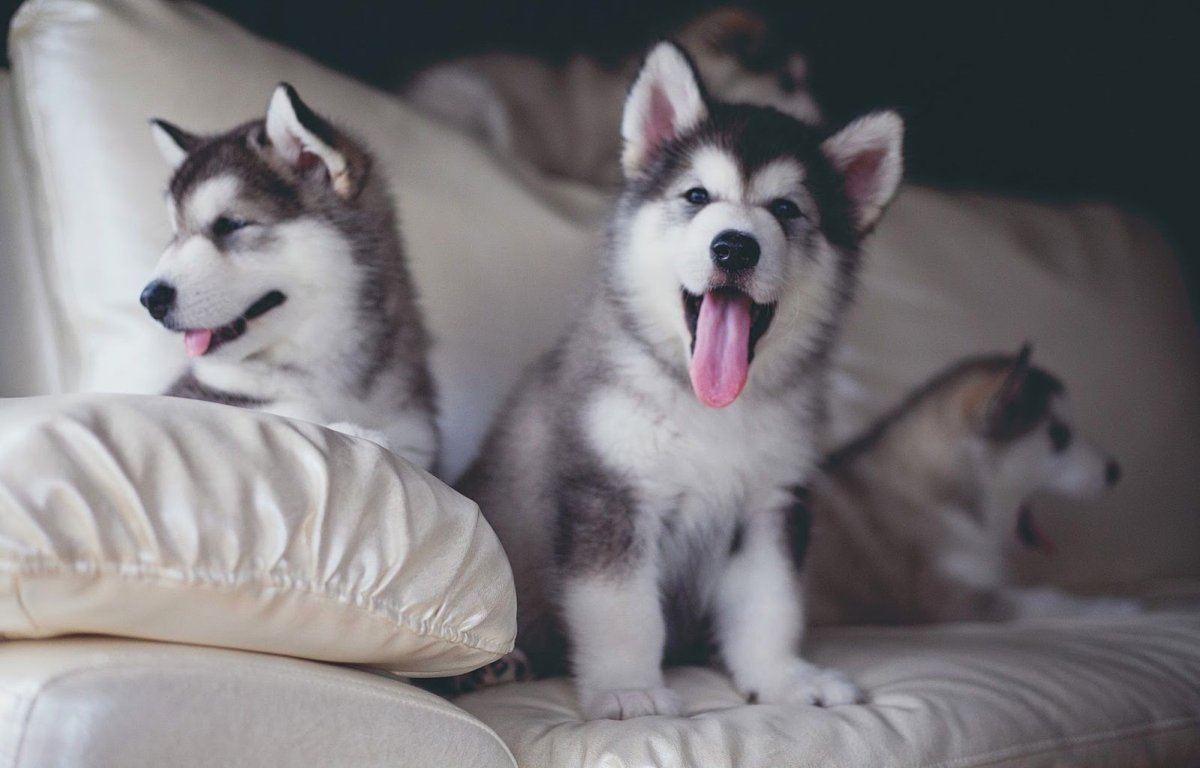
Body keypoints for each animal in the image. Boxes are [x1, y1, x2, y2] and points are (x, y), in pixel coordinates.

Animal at [141, 84, 439, 470]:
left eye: (230, 224)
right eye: (175, 234)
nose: (150, 298)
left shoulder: (417, 433)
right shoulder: (202, 391)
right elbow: (290, 412)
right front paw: (355, 432)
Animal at [458, 41, 904, 719]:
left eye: (786, 209)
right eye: (696, 195)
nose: (734, 247)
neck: (709, 411)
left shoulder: (769, 504)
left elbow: (770, 607)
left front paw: (783, 680)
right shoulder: (611, 492)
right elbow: (624, 611)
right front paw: (629, 691)